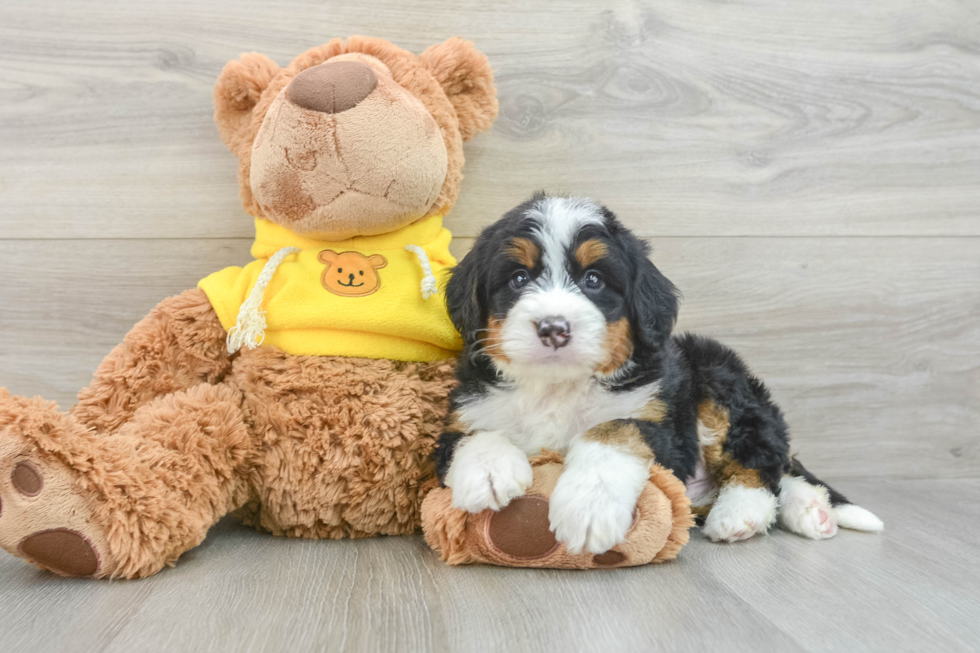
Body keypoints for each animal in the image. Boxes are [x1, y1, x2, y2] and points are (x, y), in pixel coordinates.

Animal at [432, 192, 884, 552]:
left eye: (593, 279)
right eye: (518, 278)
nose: (553, 328)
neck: (557, 386)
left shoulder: (658, 426)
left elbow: (611, 432)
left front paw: (590, 507)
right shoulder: (461, 416)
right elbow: (473, 434)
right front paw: (488, 473)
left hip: (716, 372)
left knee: (760, 461)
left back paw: (743, 513)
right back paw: (810, 509)